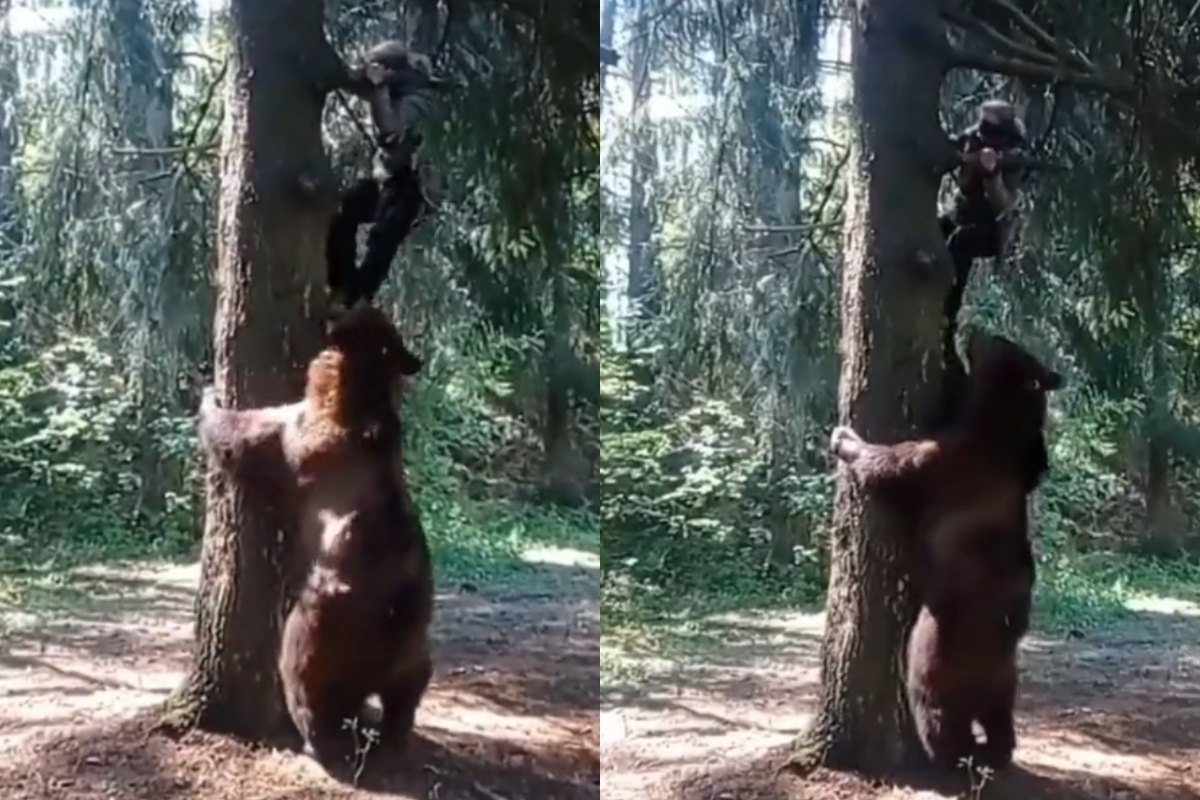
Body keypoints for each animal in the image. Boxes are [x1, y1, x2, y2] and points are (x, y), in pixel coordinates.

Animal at [196, 301, 433, 768]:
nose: (339, 305)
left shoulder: (301, 437)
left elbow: (247, 438)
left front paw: (209, 397)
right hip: (417, 640)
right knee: (406, 693)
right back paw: (389, 734)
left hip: (324, 621)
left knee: (304, 677)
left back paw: (315, 739)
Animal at [827, 328, 1062, 772]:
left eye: (999, 339)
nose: (974, 328)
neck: (999, 429)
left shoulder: (941, 457)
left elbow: (890, 465)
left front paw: (846, 439)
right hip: (1006, 680)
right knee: (1001, 721)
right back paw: (993, 751)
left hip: (931, 655)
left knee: (938, 714)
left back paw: (949, 753)